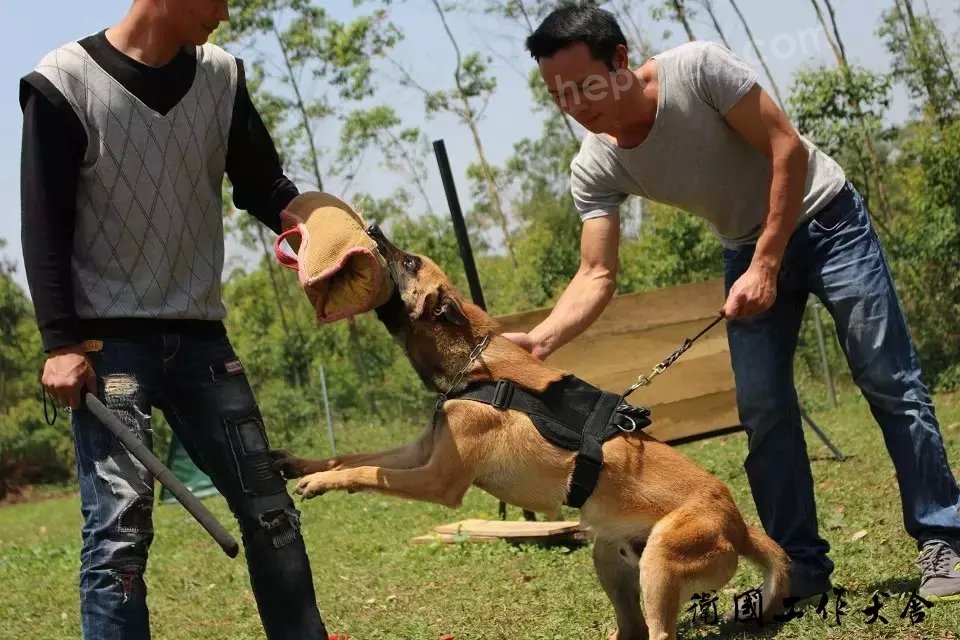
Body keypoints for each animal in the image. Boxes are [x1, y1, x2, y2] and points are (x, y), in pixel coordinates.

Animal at [268, 225, 788, 640]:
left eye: (409, 261)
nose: (373, 227)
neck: (473, 363)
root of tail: (739, 524)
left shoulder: (438, 480)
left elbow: (366, 471)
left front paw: (316, 482)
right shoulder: (421, 450)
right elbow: (354, 457)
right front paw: (301, 465)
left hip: (660, 562)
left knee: (659, 632)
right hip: (609, 556)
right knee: (632, 628)